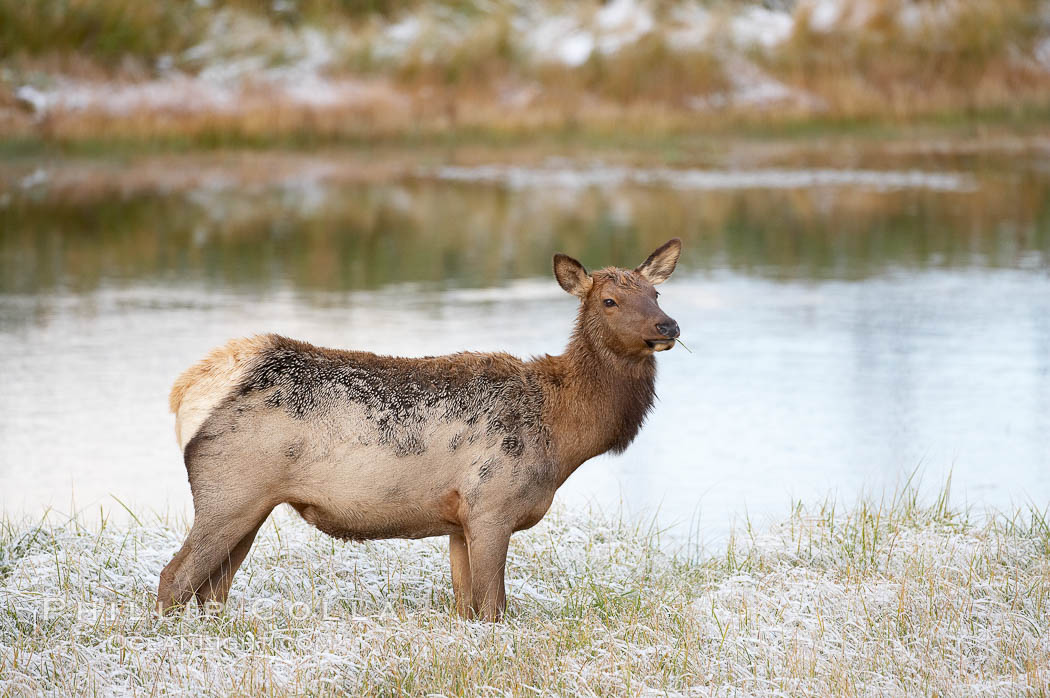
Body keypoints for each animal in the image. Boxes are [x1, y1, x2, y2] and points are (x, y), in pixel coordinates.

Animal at [155, 237, 680, 617]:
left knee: (212, 590)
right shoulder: (492, 503)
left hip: (252, 503)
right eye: (609, 300)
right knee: (175, 578)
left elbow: (467, 607)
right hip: (230, 492)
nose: (668, 326)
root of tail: (187, 387)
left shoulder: (459, 520)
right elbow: (495, 607)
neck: (562, 432)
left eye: (655, 294)